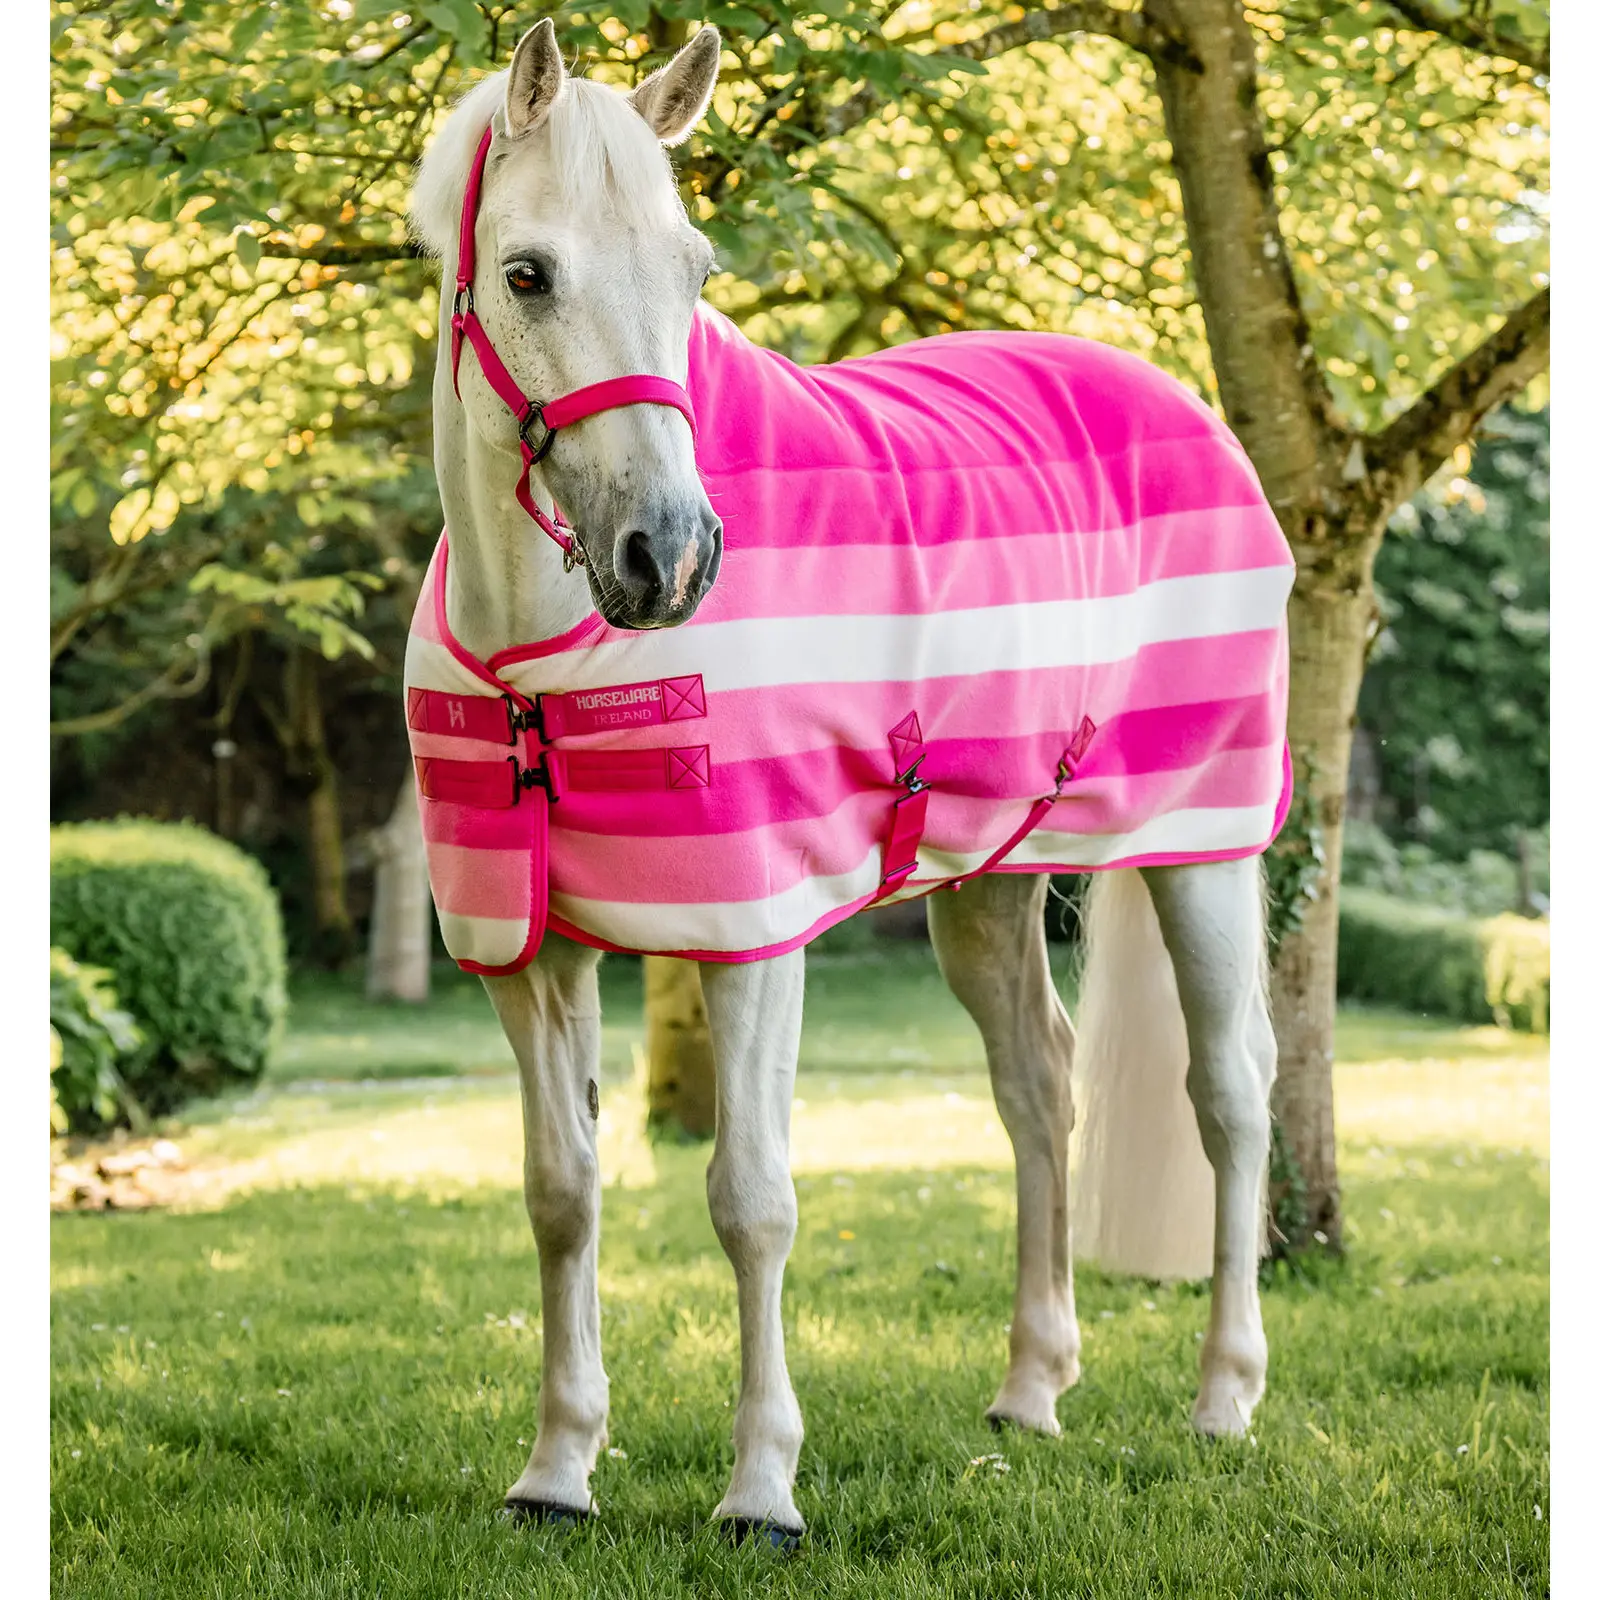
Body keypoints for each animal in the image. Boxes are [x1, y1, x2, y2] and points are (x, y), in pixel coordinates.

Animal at [405, 20, 1289, 1544]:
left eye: (695, 270)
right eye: (526, 274)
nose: (670, 556)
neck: (542, 657)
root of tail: (1180, 397)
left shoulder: (752, 932)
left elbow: (751, 1199)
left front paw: (761, 1489)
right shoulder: (528, 951)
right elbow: (561, 1193)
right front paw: (558, 1470)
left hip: (1206, 850)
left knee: (1231, 1090)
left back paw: (1225, 1397)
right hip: (988, 883)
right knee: (1038, 1087)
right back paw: (1030, 1390)